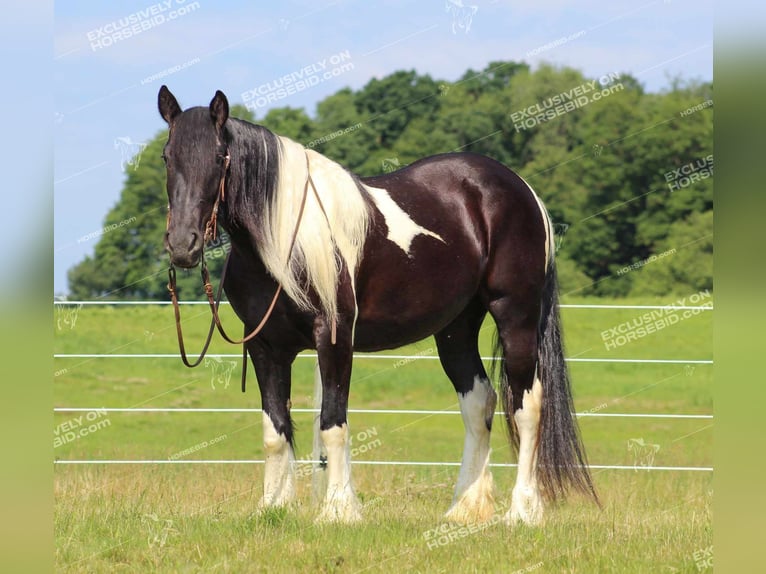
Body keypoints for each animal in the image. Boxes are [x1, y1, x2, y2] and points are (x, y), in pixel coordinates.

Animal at [158, 86, 600, 528]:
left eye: (219, 156)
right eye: (166, 156)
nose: (182, 245)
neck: (284, 240)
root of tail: (521, 189)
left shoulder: (334, 337)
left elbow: (332, 423)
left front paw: (339, 510)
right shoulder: (266, 347)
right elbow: (275, 430)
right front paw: (274, 506)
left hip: (516, 315)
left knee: (527, 405)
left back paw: (523, 511)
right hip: (456, 328)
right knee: (479, 401)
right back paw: (464, 508)